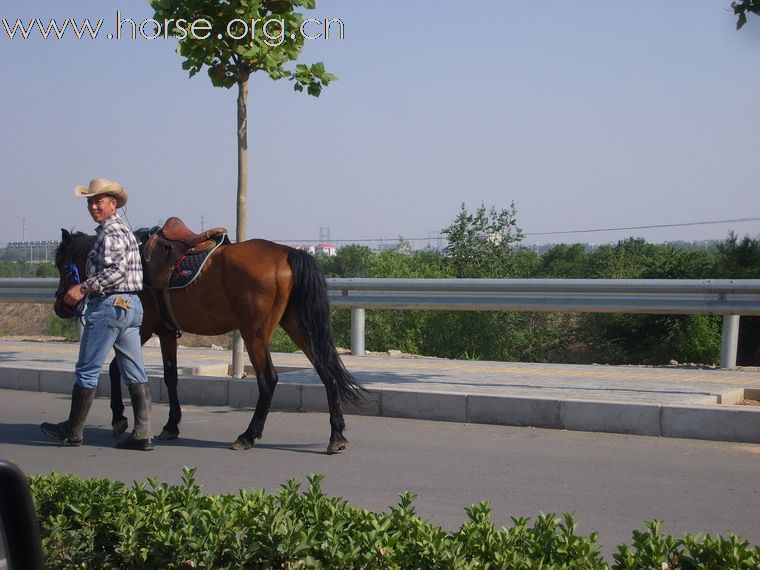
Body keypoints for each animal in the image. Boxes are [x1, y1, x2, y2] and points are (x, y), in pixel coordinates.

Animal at [52, 227, 366, 452]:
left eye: (63, 267)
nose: (60, 306)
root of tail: (288, 253)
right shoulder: (166, 332)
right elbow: (170, 376)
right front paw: (171, 425)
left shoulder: (142, 328)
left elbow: (116, 367)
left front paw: (119, 418)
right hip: (298, 325)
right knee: (326, 372)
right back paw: (336, 435)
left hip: (255, 332)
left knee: (269, 379)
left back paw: (248, 435)